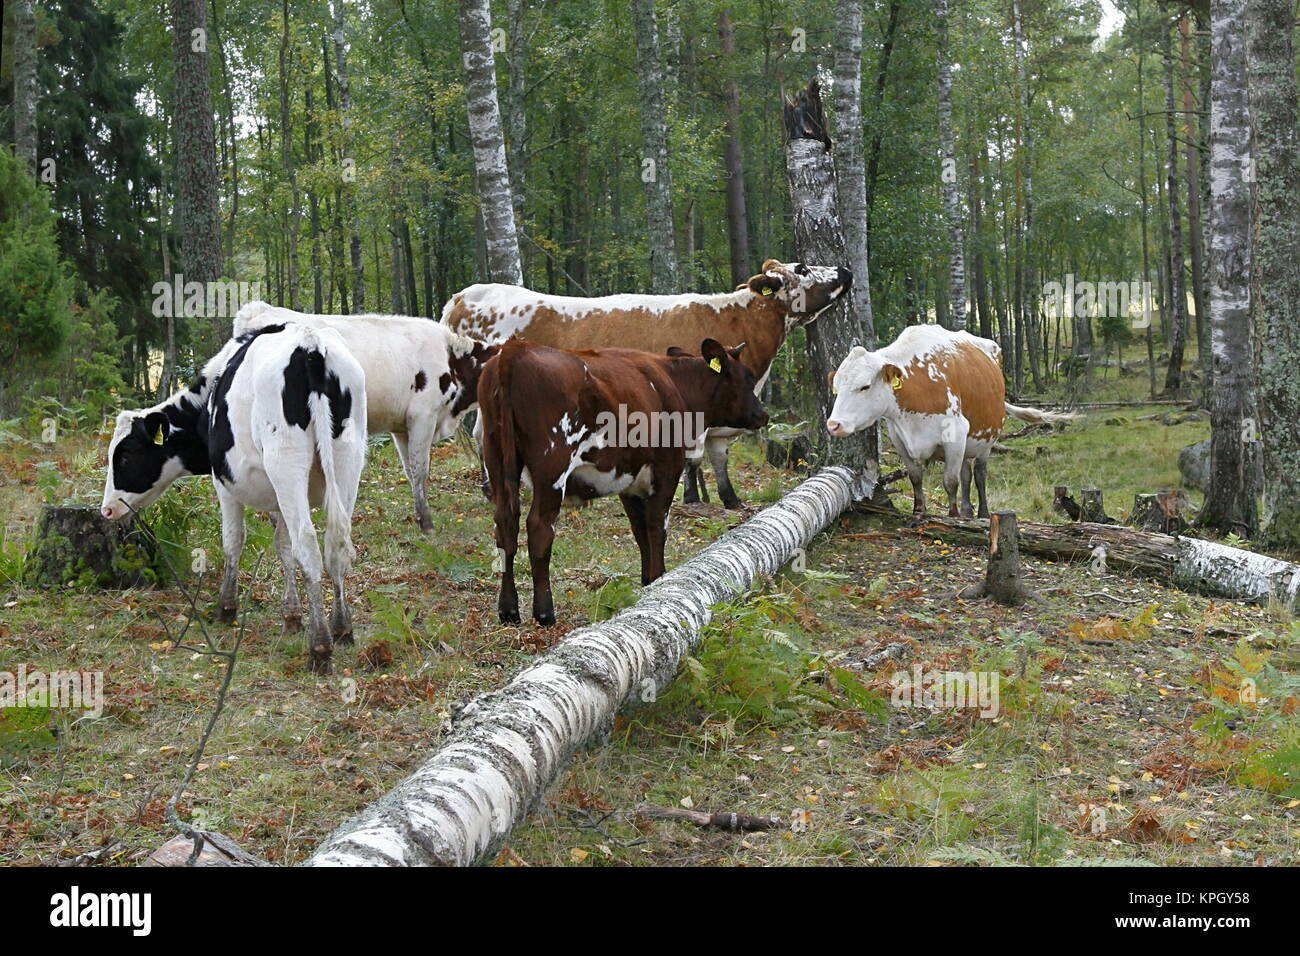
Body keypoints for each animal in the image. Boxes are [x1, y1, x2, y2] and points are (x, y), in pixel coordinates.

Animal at [101, 324, 368, 673]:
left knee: (309, 546)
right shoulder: (278, 497)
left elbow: (233, 540)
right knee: (335, 547)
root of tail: (310, 343)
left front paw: (226, 607)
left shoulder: (223, 481)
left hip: (287, 464)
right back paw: (341, 628)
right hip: (348, 459)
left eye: (126, 456)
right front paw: (292, 616)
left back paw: (320, 647)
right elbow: (283, 546)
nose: (106, 510)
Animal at [234, 301, 496, 532]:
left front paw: (420, 516)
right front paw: (427, 523)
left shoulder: (402, 426)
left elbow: (410, 471)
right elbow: (421, 470)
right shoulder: (423, 416)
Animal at [442, 258, 851, 509]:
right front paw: (692, 498)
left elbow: (719, 456)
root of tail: (466, 295)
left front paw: (729, 498)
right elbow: (694, 456)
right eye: (803, 267)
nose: (845, 269)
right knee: (484, 435)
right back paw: (492, 488)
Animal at [478, 337, 769, 626]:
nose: (763, 415)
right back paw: (545, 613)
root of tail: (516, 349)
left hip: (496, 459)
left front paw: (647, 582)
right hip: (552, 466)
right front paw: (658, 579)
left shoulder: (629, 482)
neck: (674, 384)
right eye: (747, 377)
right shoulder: (666, 471)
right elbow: (656, 529)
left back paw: (508, 611)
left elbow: (640, 532)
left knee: (505, 526)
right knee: (539, 528)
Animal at [825, 325, 1077, 519]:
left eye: (864, 386)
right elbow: (916, 477)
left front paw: (953, 516)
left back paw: (982, 513)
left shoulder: (954, 435)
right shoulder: (900, 439)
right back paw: (967, 511)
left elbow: (950, 481)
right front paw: (919, 512)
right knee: (966, 474)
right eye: (836, 388)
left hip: (986, 440)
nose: (833, 425)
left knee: (979, 475)